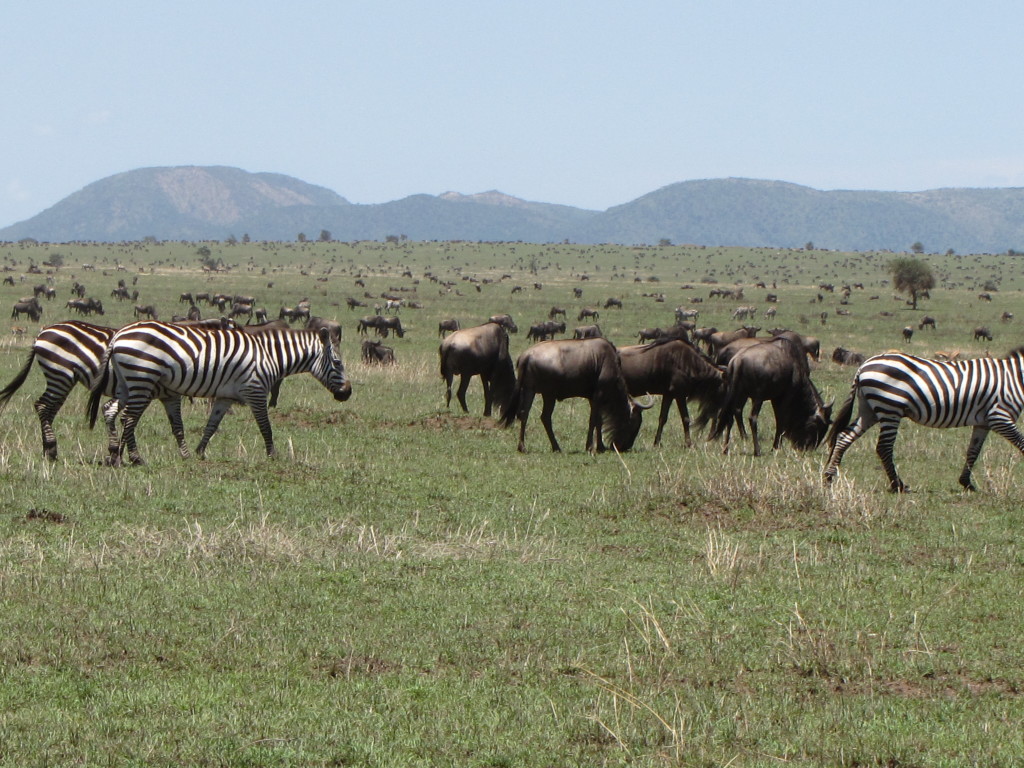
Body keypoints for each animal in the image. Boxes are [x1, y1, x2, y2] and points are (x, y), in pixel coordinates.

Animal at [88, 321, 352, 466]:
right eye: (338, 363)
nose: (347, 394)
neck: (269, 355)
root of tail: (119, 335)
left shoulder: (226, 397)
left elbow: (211, 425)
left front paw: (199, 452)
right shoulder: (255, 391)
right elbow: (265, 426)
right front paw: (272, 455)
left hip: (128, 382)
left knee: (110, 409)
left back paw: (115, 454)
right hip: (142, 378)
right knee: (129, 418)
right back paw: (134, 458)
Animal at [819, 350, 1024, 493]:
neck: (1016, 378)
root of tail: (863, 366)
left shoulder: (984, 422)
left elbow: (973, 451)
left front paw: (966, 483)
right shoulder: (1000, 417)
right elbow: (1022, 445)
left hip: (869, 409)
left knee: (845, 436)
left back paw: (828, 477)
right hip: (890, 408)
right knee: (884, 447)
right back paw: (898, 485)